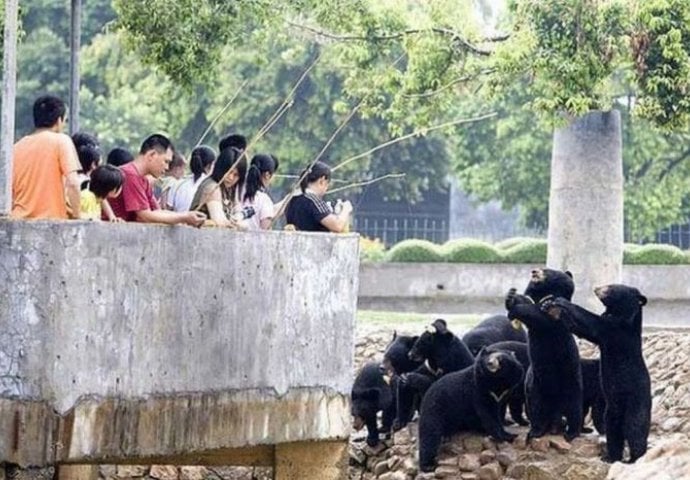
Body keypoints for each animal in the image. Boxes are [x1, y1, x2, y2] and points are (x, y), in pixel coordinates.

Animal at [414, 344, 520, 472]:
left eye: (500, 358)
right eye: (488, 357)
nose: (490, 363)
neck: (495, 380)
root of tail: (427, 393)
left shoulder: (504, 392)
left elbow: (498, 412)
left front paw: (508, 431)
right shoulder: (479, 390)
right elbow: (489, 414)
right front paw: (506, 436)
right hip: (436, 408)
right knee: (430, 434)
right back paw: (428, 465)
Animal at [500, 268, 580, 440]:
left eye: (548, 270)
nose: (534, 271)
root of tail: (556, 415)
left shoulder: (556, 318)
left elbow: (542, 315)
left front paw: (516, 308)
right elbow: (528, 304)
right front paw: (511, 297)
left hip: (570, 381)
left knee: (574, 406)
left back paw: (571, 432)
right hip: (535, 386)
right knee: (537, 409)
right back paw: (537, 431)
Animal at [536, 284, 652, 464]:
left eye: (611, 288)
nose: (597, 288)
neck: (620, 313)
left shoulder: (616, 330)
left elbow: (591, 324)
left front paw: (558, 301)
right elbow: (581, 329)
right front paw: (548, 303)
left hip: (636, 403)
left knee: (634, 430)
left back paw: (634, 458)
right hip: (611, 411)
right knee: (613, 433)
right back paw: (610, 457)